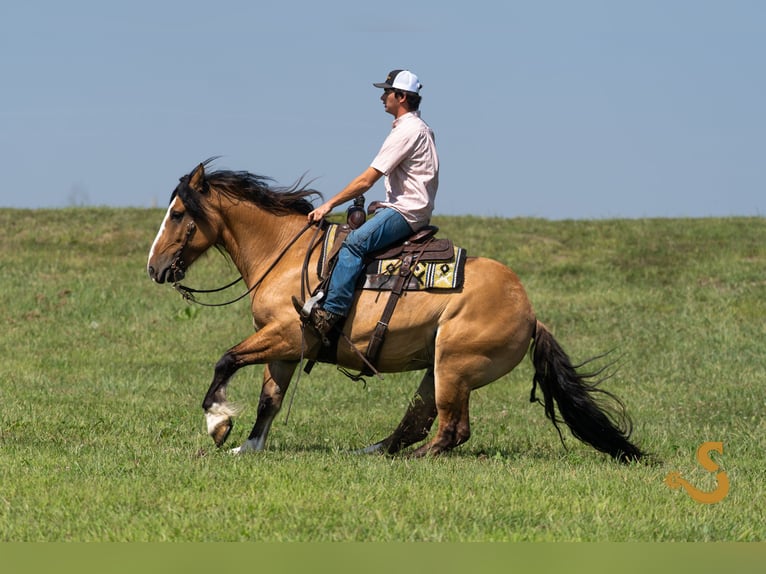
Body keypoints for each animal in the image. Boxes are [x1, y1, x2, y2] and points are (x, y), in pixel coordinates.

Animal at [146, 159, 643, 461]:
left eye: (177, 213)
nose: (153, 267)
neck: (286, 257)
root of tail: (531, 313)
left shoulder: (286, 334)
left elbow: (226, 359)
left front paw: (218, 423)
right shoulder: (284, 347)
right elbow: (270, 398)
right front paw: (247, 446)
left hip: (454, 366)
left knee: (450, 430)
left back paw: (413, 459)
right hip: (437, 370)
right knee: (417, 422)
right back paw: (374, 451)